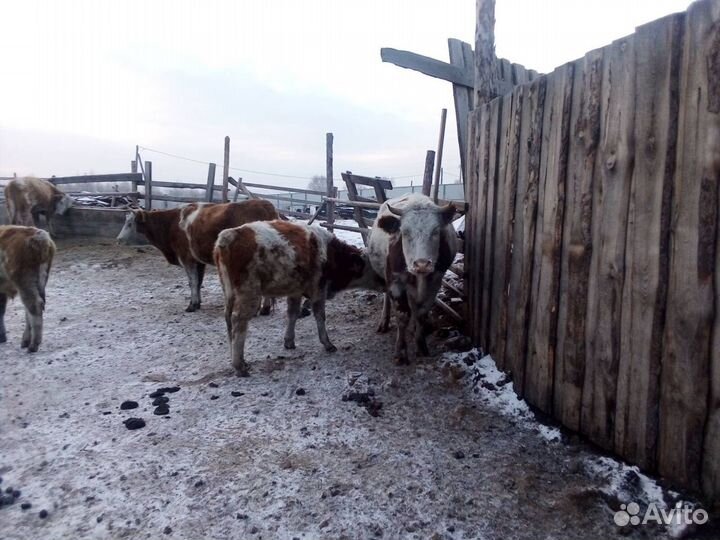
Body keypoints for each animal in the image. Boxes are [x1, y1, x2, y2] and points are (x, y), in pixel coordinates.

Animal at [116, 199, 278, 313]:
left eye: (130, 223)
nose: (118, 239)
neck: (171, 223)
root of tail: (264, 204)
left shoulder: (187, 259)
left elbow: (192, 282)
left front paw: (192, 305)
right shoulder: (198, 261)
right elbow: (198, 282)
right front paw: (197, 302)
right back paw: (265, 309)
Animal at [214, 220, 385, 376]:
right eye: (374, 266)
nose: (386, 282)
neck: (332, 254)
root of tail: (229, 235)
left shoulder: (295, 291)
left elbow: (293, 313)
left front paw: (289, 341)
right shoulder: (318, 290)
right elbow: (320, 316)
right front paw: (327, 343)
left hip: (229, 293)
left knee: (228, 319)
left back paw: (236, 359)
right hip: (248, 293)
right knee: (238, 321)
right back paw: (239, 365)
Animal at [367, 193, 457, 365]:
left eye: (436, 231)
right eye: (405, 232)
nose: (422, 264)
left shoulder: (435, 282)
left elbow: (421, 312)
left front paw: (421, 345)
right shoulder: (395, 281)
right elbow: (403, 316)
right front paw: (401, 353)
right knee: (387, 297)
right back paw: (384, 322)